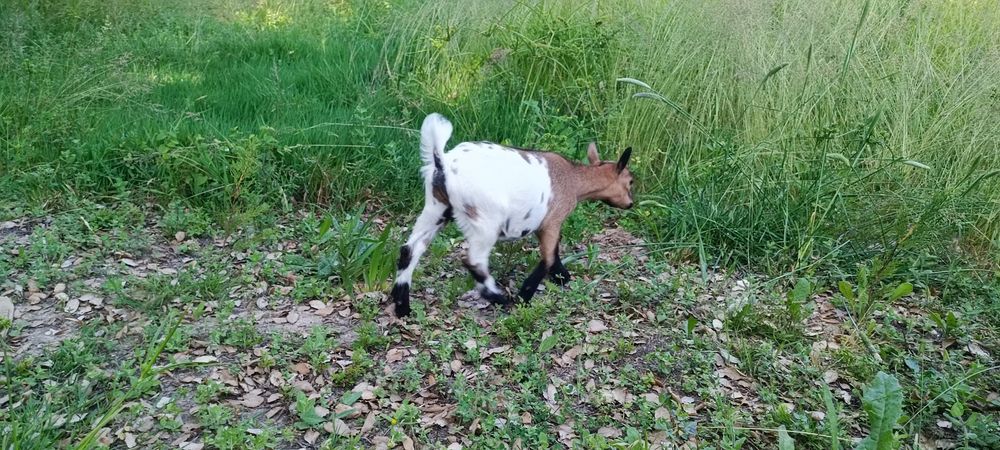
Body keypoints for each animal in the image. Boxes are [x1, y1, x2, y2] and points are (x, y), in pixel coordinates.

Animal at [390, 113, 634, 317]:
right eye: (631, 181)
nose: (630, 204)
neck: (575, 180)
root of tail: (444, 163)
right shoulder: (552, 220)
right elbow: (548, 257)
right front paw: (526, 295)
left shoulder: (543, 224)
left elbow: (553, 252)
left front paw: (562, 276)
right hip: (485, 219)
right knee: (474, 261)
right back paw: (499, 298)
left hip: (436, 208)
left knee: (409, 250)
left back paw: (403, 307)